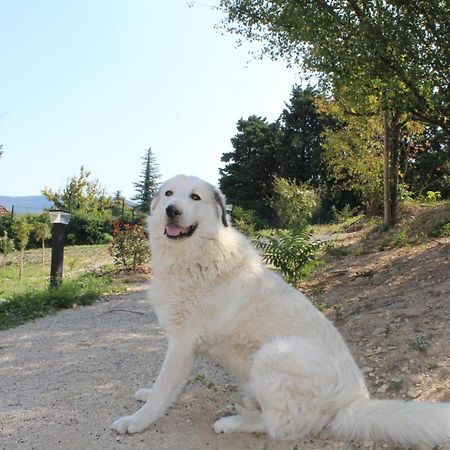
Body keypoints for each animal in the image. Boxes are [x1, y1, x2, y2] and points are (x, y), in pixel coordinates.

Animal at [113, 176, 450, 446]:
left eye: (195, 197)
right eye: (168, 194)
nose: (172, 209)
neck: (195, 256)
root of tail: (351, 403)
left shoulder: (183, 345)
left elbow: (163, 388)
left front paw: (137, 420)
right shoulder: (182, 346)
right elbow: (164, 387)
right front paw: (147, 394)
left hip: (274, 354)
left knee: (279, 427)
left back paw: (233, 422)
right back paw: (242, 407)